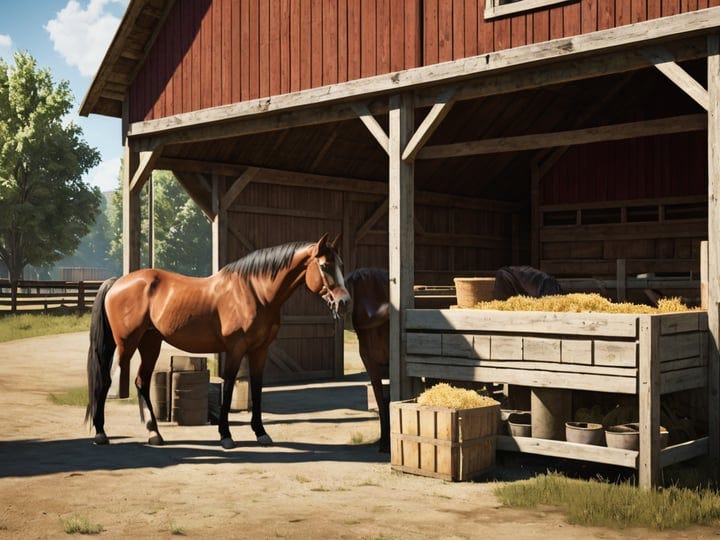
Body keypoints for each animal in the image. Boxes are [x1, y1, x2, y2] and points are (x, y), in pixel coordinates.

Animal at [85, 233, 351, 450]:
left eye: (341, 264)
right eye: (325, 266)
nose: (344, 302)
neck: (255, 293)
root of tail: (117, 282)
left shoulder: (260, 350)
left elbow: (257, 387)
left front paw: (261, 433)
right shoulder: (235, 349)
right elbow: (229, 385)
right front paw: (226, 435)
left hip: (150, 343)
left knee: (142, 381)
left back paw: (154, 434)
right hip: (124, 344)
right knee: (106, 380)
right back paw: (101, 433)